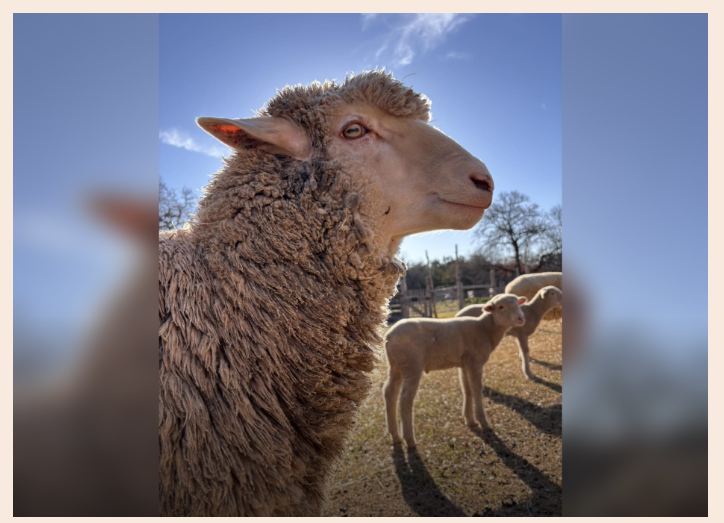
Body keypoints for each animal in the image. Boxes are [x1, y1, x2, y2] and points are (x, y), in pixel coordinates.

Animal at [383, 293, 526, 448]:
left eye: (518, 303)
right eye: (501, 307)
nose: (521, 318)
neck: (485, 329)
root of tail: (389, 336)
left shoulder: (464, 364)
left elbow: (467, 389)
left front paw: (470, 420)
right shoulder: (475, 362)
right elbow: (476, 389)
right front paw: (483, 422)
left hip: (395, 365)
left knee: (389, 392)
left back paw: (395, 436)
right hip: (412, 364)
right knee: (405, 399)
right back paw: (409, 440)